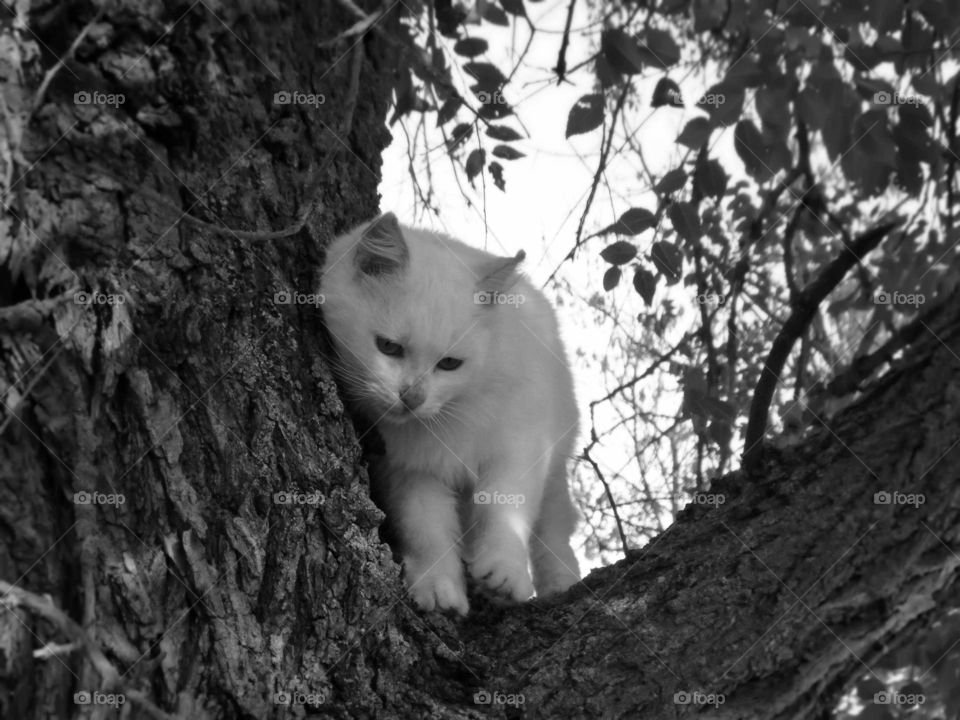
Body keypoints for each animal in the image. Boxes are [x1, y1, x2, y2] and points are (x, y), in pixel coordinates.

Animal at [318, 212, 580, 612]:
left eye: (450, 364)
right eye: (389, 347)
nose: (412, 397)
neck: (448, 419)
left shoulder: (520, 448)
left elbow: (505, 512)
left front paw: (504, 572)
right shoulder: (409, 472)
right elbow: (427, 531)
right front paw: (439, 587)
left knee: (553, 530)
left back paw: (560, 581)